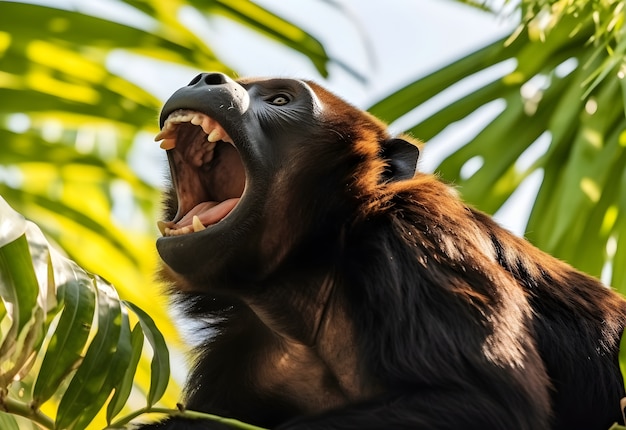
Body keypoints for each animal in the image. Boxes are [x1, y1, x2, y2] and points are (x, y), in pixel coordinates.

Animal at [144, 72, 624, 428]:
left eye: (280, 100)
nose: (206, 78)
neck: (311, 282)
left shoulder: (415, 236)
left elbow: (489, 404)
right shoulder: (242, 352)